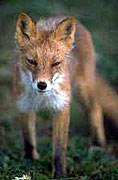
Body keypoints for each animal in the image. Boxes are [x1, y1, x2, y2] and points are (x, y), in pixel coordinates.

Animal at [14, 13, 118, 178]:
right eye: (31, 61)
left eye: (56, 63)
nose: (42, 85)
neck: (42, 98)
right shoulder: (24, 105)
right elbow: (28, 141)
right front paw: (30, 164)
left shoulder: (61, 106)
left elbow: (59, 150)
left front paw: (60, 175)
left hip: (83, 89)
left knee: (96, 110)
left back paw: (98, 145)